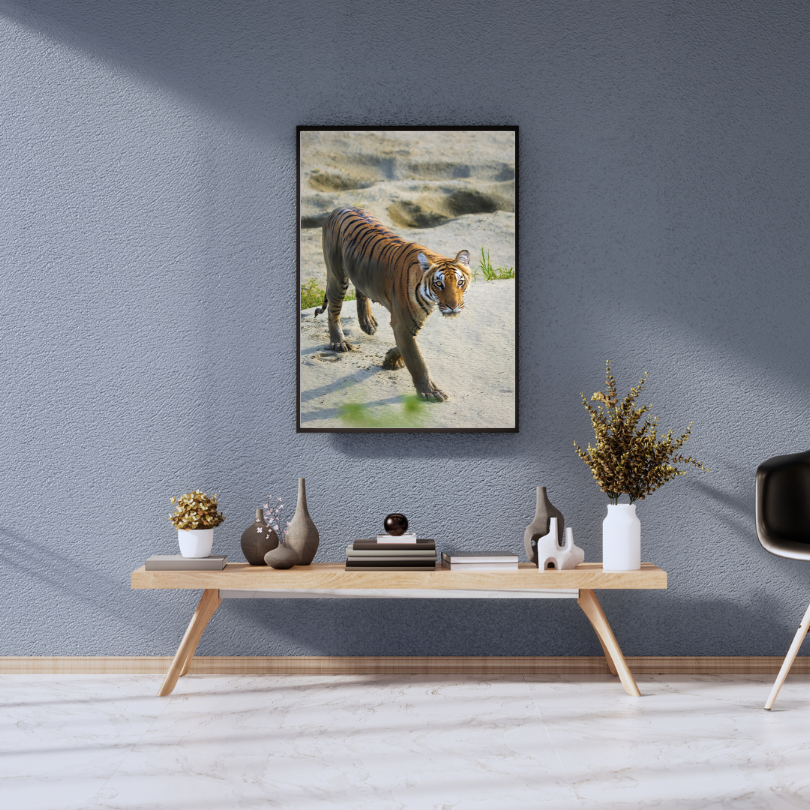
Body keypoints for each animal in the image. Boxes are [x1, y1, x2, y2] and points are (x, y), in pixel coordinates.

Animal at [314, 206, 472, 402]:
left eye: (460, 283)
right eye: (438, 284)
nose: (453, 306)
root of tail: (339, 208)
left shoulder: (412, 322)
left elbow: (405, 348)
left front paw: (390, 360)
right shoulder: (403, 324)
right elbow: (417, 360)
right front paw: (429, 391)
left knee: (360, 291)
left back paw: (368, 323)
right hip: (337, 276)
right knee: (333, 311)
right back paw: (339, 342)